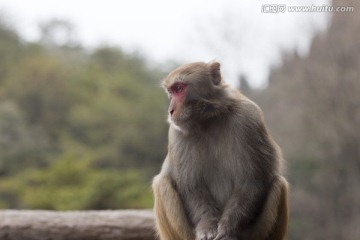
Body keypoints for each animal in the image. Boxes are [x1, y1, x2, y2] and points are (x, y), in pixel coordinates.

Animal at [153, 62, 290, 240]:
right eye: (171, 91)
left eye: (178, 88)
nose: (171, 110)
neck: (208, 120)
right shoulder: (177, 134)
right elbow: (190, 184)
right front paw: (207, 226)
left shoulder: (249, 119)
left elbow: (251, 180)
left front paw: (227, 229)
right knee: (161, 183)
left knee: (278, 184)